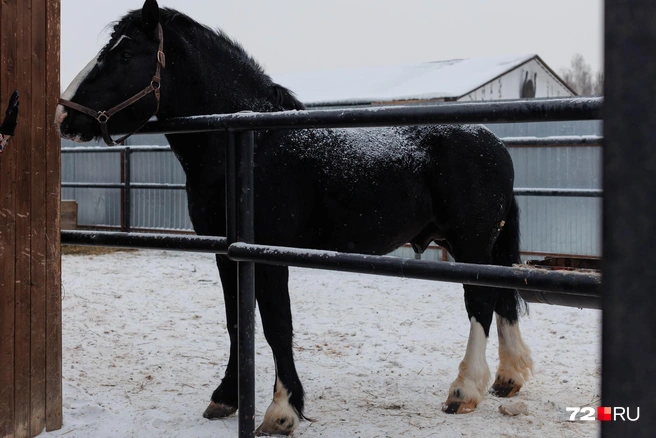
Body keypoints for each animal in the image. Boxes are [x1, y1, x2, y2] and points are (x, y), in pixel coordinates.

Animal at [56, 1, 532, 434]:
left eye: (124, 54)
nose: (64, 116)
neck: (252, 146)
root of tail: (494, 143)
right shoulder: (227, 253)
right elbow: (236, 321)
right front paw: (226, 397)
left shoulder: (268, 253)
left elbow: (276, 326)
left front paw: (282, 410)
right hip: (476, 244)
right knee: (502, 297)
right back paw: (507, 379)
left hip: (470, 242)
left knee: (480, 302)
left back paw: (463, 391)